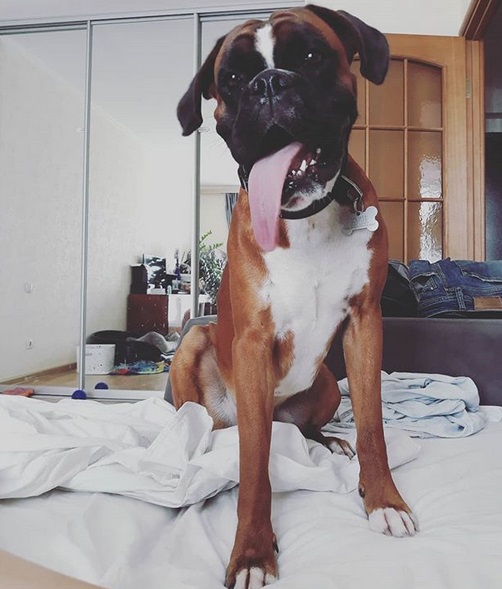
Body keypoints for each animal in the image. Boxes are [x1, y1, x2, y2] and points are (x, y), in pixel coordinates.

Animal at [172, 5, 416, 588]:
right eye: (232, 79)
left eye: (310, 56)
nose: (268, 84)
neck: (305, 217)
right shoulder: (253, 342)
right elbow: (255, 463)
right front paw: (252, 551)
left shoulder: (365, 324)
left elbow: (373, 426)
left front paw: (383, 500)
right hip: (195, 349)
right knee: (214, 427)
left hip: (326, 381)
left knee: (303, 429)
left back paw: (328, 442)